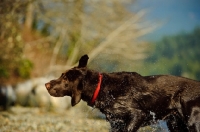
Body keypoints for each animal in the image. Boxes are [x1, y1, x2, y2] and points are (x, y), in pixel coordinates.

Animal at [45, 54, 200, 131]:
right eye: (62, 75)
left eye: (65, 78)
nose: (46, 84)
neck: (103, 88)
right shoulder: (116, 124)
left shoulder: (137, 115)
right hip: (175, 125)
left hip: (192, 122)